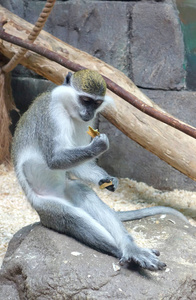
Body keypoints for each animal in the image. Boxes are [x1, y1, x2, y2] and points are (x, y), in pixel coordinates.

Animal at [11, 69, 187, 270]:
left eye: (96, 103)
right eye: (85, 100)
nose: (89, 112)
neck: (68, 109)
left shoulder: (85, 123)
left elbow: (80, 166)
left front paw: (108, 179)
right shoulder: (50, 114)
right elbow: (54, 160)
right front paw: (99, 145)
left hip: (67, 190)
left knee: (84, 193)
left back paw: (129, 247)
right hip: (44, 206)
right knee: (70, 217)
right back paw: (124, 251)